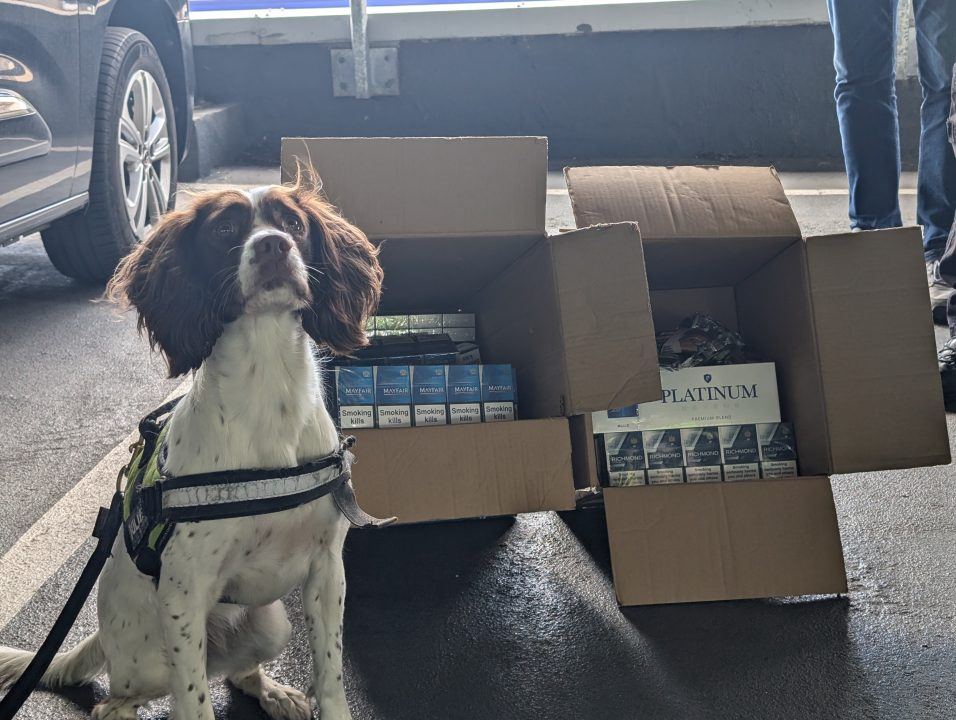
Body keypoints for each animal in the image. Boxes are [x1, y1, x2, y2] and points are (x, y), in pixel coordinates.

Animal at [0, 184, 380, 720]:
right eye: (225, 229)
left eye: (294, 224)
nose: (273, 245)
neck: (268, 392)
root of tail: (100, 637)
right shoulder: (184, 594)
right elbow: (195, 702)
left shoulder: (327, 571)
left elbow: (330, 676)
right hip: (147, 661)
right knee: (121, 694)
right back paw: (117, 709)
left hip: (272, 625)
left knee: (240, 673)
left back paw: (276, 692)